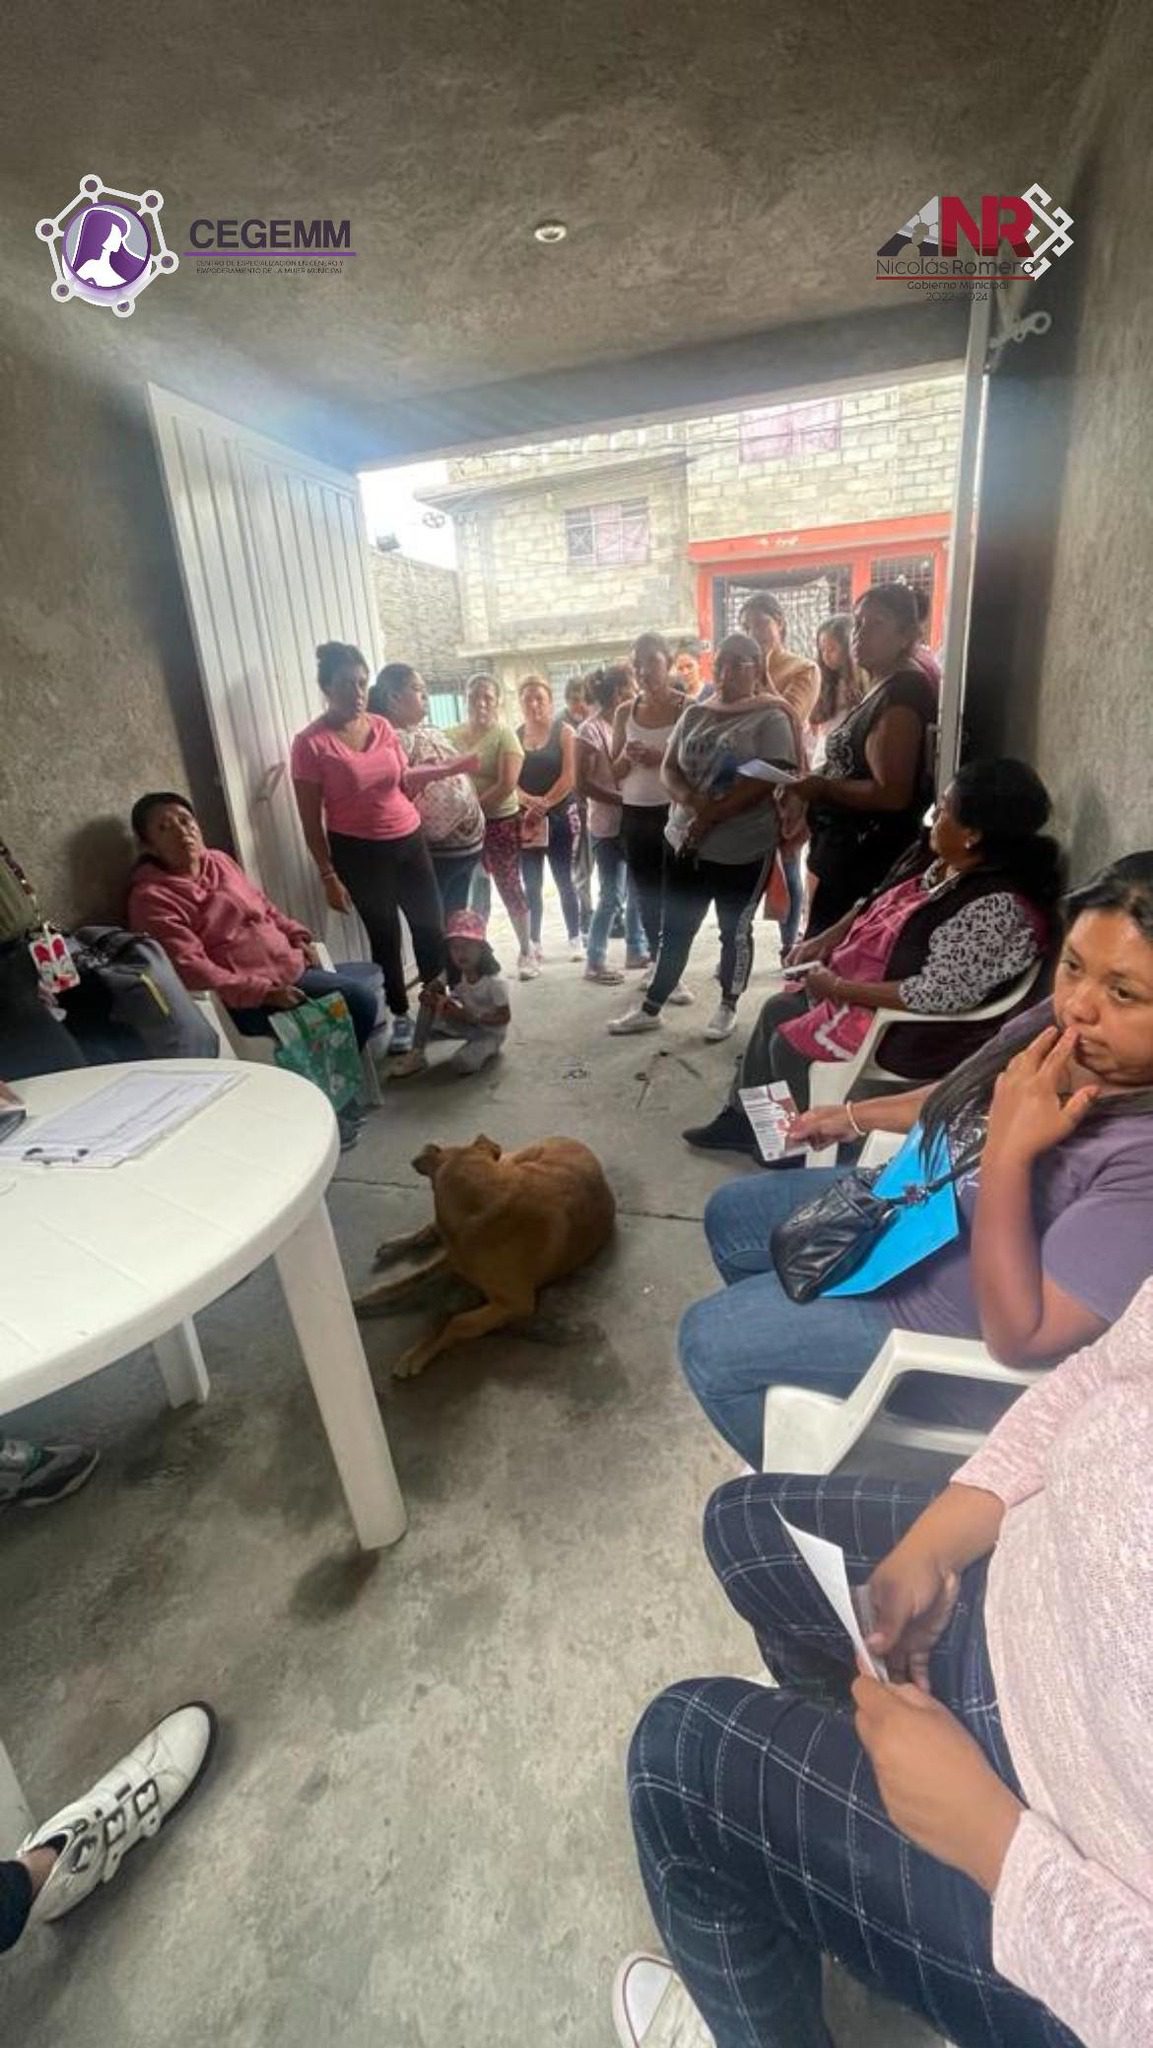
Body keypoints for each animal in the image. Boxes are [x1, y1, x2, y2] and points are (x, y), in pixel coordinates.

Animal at [356, 1138, 618, 1376]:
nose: (429, 1147)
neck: (483, 1205)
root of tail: (571, 1140)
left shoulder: (515, 1302)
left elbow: (456, 1321)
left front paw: (421, 1351)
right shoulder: (453, 1261)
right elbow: (408, 1282)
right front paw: (369, 1298)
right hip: (513, 1160)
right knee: (431, 1228)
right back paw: (399, 1243)